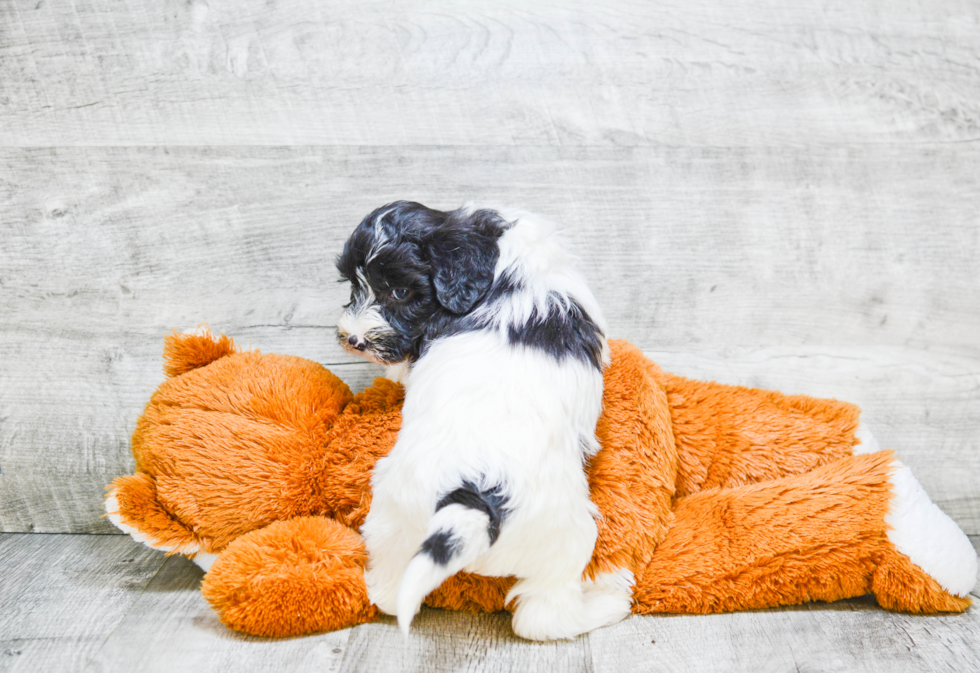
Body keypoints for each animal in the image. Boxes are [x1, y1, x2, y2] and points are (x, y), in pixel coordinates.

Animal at [334, 201, 632, 640]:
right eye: (353, 285)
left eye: (400, 292)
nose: (354, 340)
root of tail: (472, 495)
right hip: (569, 534)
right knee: (543, 617)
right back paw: (608, 598)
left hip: (396, 521)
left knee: (392, 591)